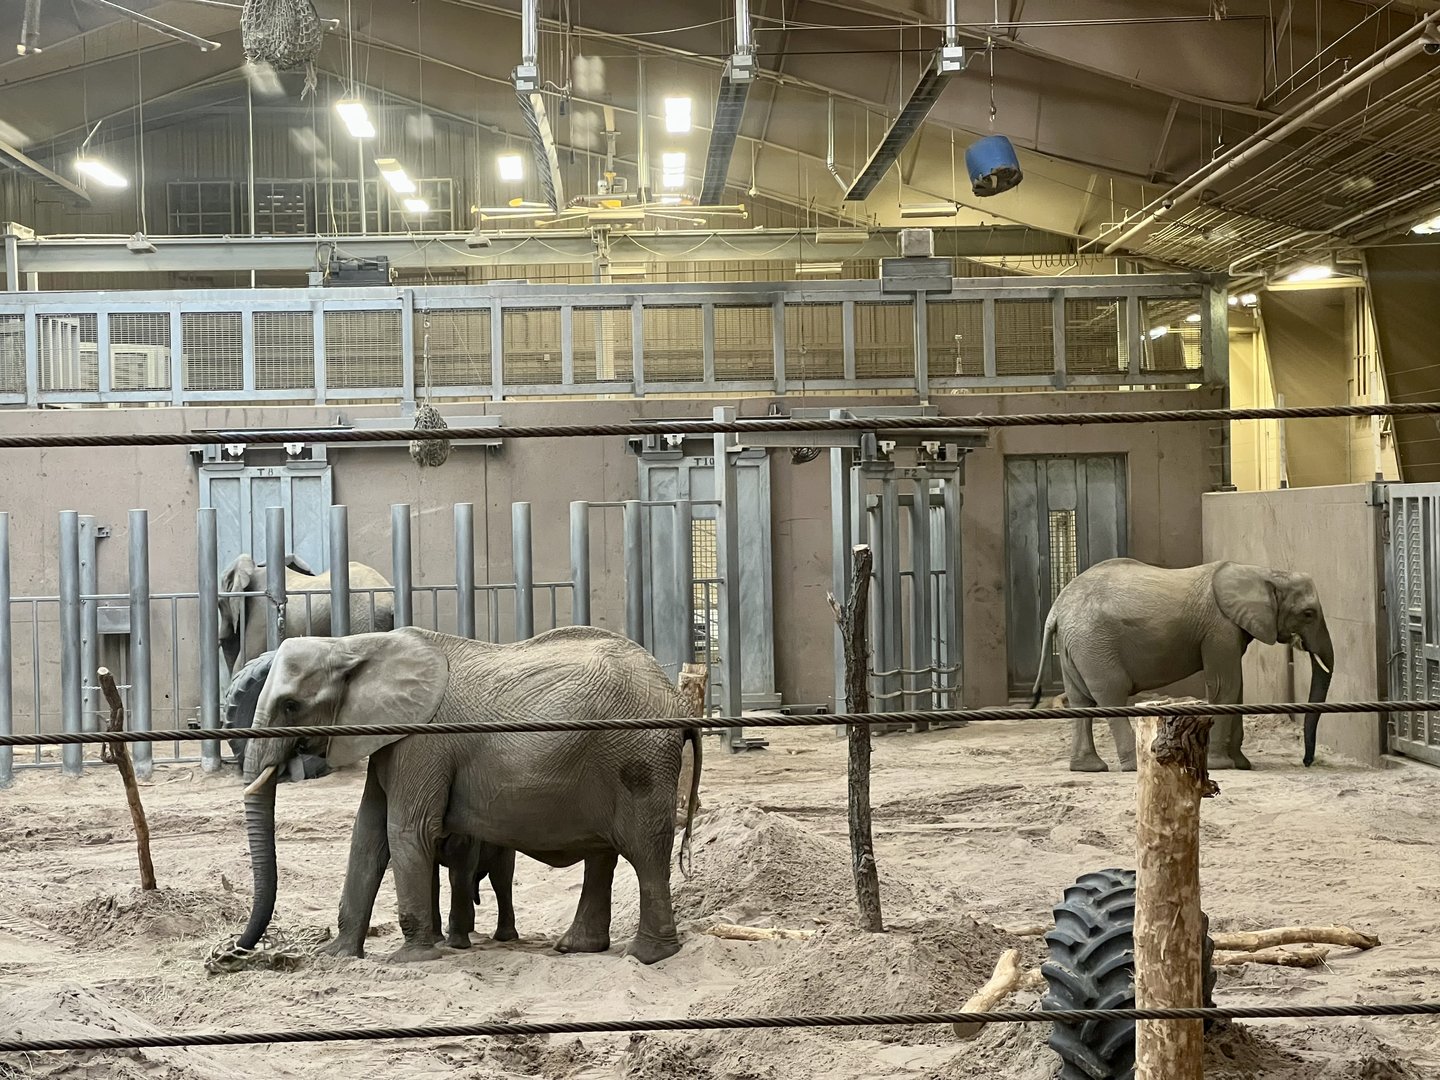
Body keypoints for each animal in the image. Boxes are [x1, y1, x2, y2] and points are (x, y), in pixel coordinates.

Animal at [234, 624, 703, 966]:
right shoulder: (389, 741)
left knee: (644, 851)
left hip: (638, 758)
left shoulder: (422, 744)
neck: (356, 644)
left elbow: (406, 831)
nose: (237, 951)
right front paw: (335, 956)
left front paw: (411, 960)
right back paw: (577, 948)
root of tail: (676, 700)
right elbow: (367, 836)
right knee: (604, 854)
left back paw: (646, 957)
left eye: (291, 705)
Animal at [1030, 558, 1334, 773]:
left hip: (1076, 646)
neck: (1263, 572)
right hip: (1094, 644)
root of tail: (1056, 609)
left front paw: (1243, 764)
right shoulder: (1219, 628)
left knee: (1080, 700)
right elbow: (1225, 686)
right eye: (1308, 614)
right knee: (1111, 694)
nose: (1307, 762)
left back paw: (1088, 768)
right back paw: (1134, 766)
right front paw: (1221, 765)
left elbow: (1237, 689)